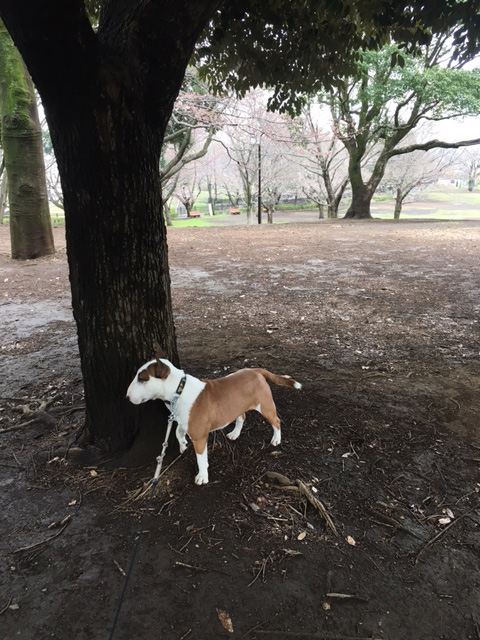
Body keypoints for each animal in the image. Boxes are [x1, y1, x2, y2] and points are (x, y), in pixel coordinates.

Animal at [125, 356, 302, 484]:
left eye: (142, 378)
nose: (126, 396)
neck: (179, 390)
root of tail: (256, 371)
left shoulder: (199, 436)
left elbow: (201, 458)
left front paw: (202, 477)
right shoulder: (184, 420)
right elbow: (178, 431)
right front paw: (182, 445)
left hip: (265, 406)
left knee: (276, 421)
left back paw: (276, 439)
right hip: (237, 405)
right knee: (242, 417)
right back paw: (234, 434)